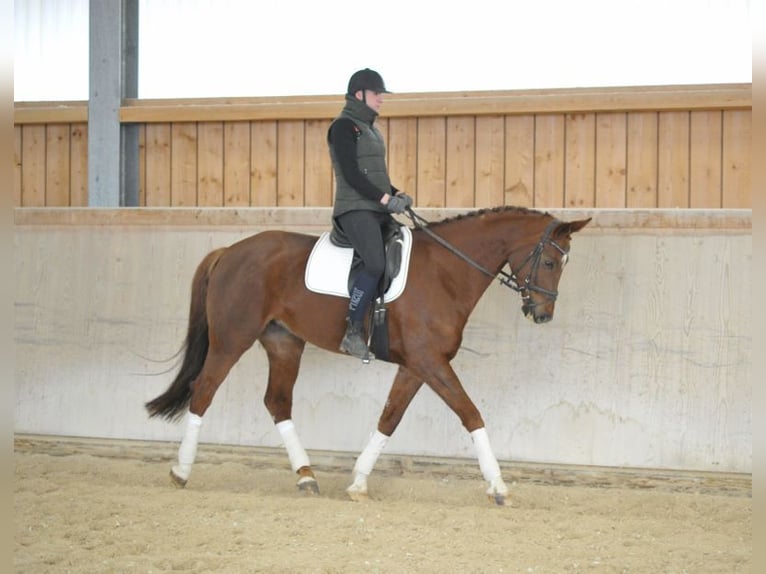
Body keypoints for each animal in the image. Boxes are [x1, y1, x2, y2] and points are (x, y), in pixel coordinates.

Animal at [147, 208, 592, 508]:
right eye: (549, 261)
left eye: (565, 263)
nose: (542, 314)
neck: (446, 272)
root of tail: (230, 251)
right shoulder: (430, 362)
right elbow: (471, 413)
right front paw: (498, 486)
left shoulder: (417, 366)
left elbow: (389, 418)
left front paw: (358, 482)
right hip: (231, 339)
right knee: (203, 391)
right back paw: (180, 471)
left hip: (284, 343)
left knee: (277, 402)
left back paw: (306, 477)